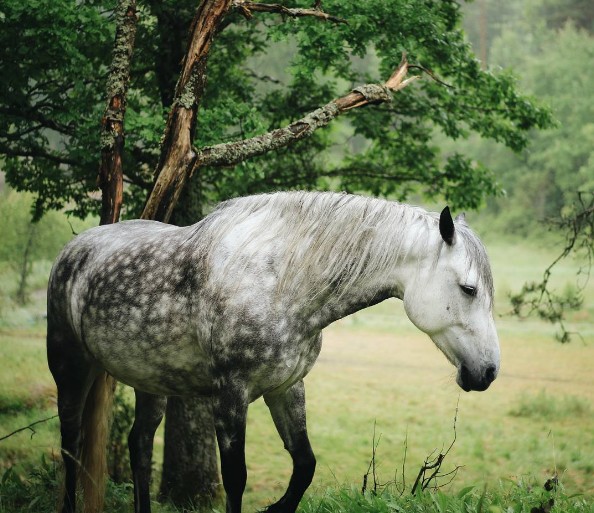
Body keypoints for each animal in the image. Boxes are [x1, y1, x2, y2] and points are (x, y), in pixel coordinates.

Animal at [47, 191, 500, 512]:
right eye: (468, 288)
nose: (489, 372)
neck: (282, 280)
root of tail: (76, 247)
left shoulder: (286, 387)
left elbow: (304, 466)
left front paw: (276, 508)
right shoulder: (230, 395)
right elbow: (236, 478)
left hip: (152, 383)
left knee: (139, 445)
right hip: (70, 367)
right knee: (71, 443)